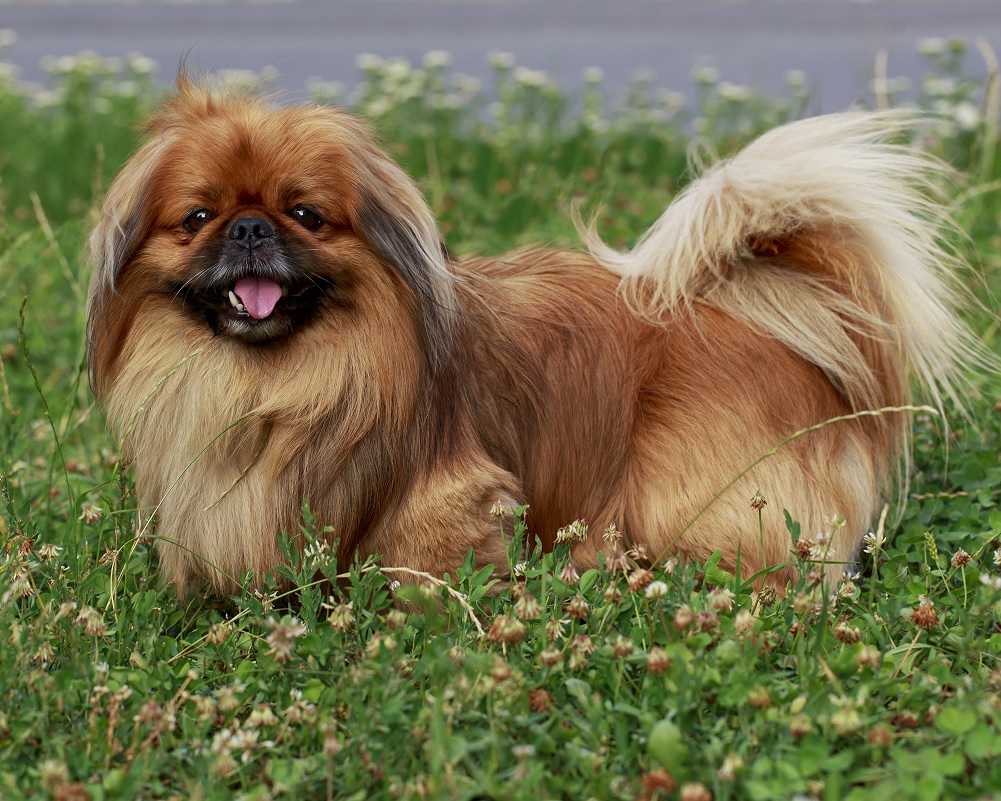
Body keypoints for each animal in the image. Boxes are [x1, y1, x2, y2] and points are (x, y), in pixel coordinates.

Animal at [88, 76, 976, 600]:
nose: (247, 228)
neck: (270, 380)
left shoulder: (446, 495)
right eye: (197, 217)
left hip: (692, 495)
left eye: (305, 214)